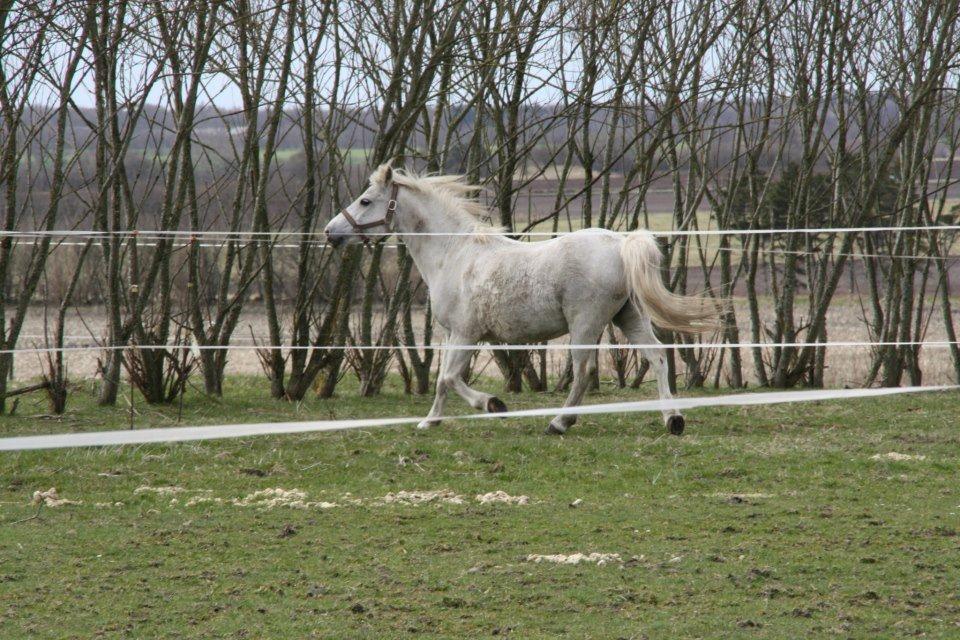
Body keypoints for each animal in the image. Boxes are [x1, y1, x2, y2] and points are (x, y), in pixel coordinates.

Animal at [326, 162, 716, 438]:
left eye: (365, 200)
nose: (331, 232)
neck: (455, 253)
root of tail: (621, 244)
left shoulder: (467, 334)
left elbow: (451, 378)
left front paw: (493, 404)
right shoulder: (452, 334)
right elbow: (441, 380)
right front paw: (430, 422)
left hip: (586, 324)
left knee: (584, 372)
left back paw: (559, 423)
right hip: (628, 316)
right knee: (657, 356)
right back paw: (673, 419)